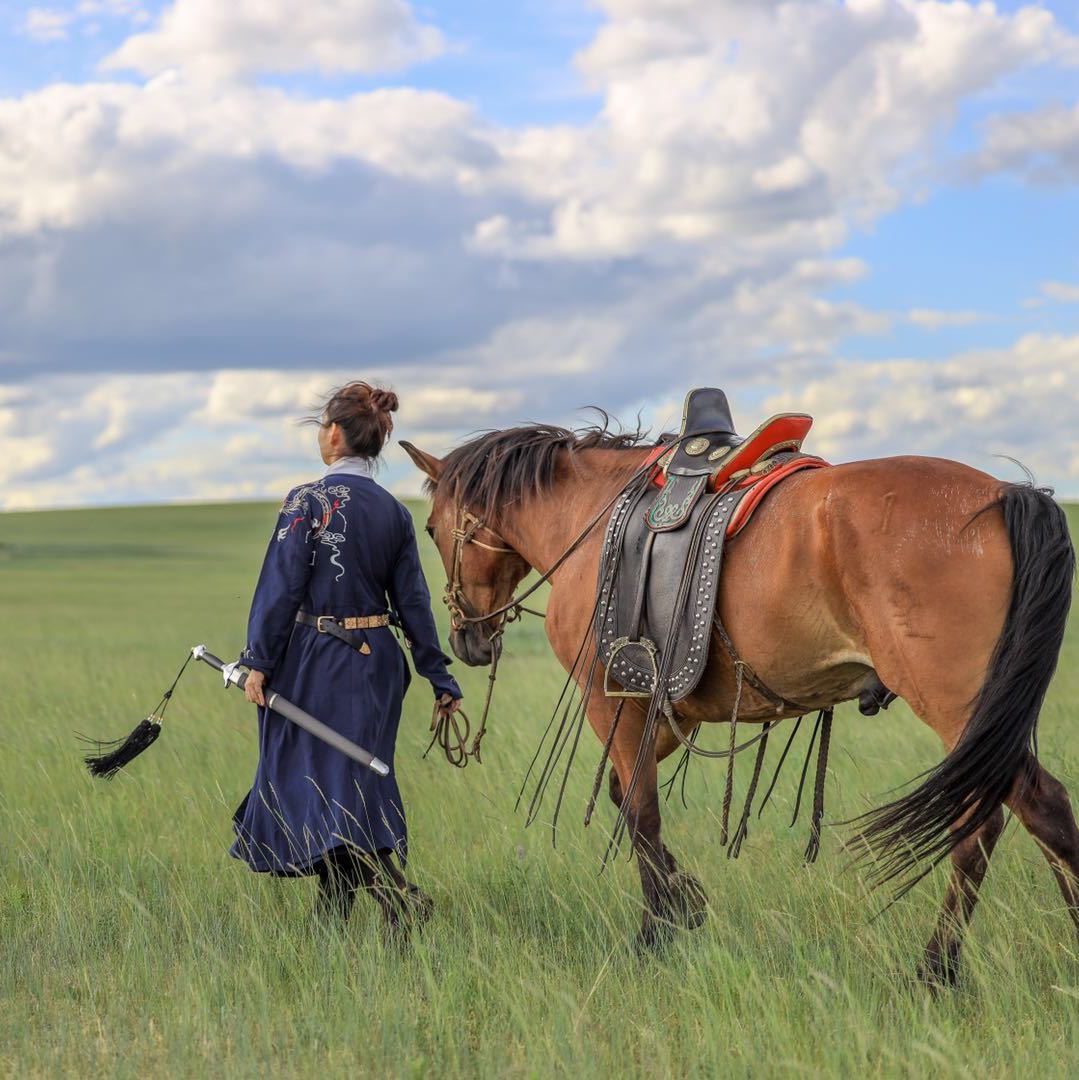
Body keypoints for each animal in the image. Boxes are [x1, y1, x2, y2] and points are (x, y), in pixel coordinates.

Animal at [401, 423, 1075, 989]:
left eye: (430, 530)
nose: (466, 639)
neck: (590, 522)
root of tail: (1007, 493)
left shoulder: (612, 700)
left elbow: (640, 813)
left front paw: (656, 933)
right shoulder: (664, 709)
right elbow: (628, 799)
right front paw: (687, 904)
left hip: (957, 708)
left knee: (1027, 812)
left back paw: (937, 971)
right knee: (994, 822)